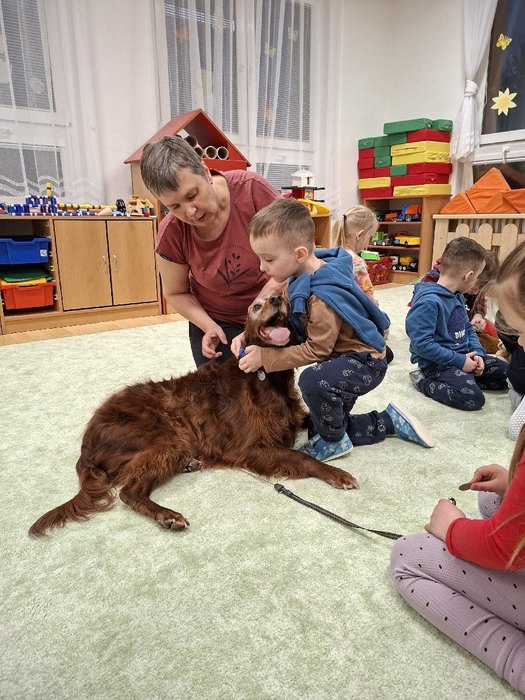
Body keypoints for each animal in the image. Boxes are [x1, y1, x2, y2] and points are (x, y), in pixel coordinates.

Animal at [29, 293, 356, 536]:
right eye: (256, 306)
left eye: (283, 299)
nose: (277, 298)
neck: (265, 376)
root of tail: (87, 441)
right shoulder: (250, 448)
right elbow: (301, 456)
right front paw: (337, 474)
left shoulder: (292, 417)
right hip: (169, 436)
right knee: (129, 492)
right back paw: (168, 516)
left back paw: (189, 466)